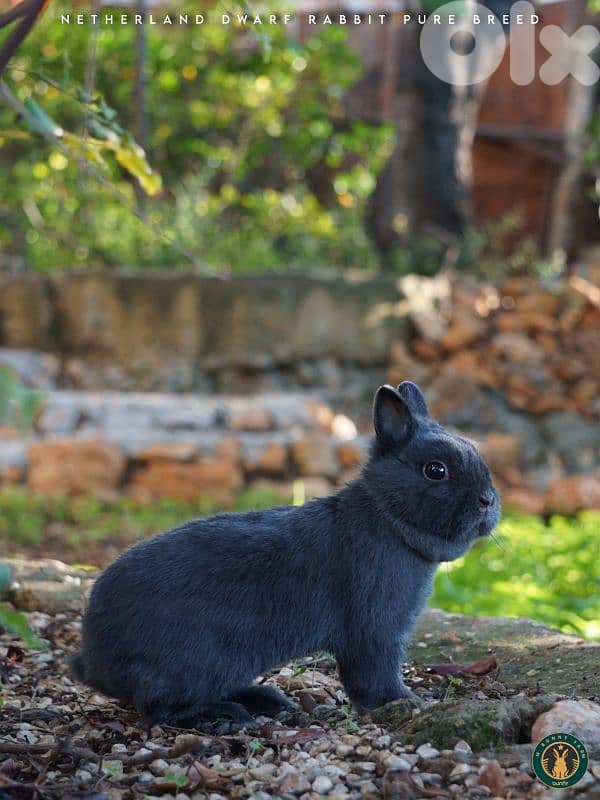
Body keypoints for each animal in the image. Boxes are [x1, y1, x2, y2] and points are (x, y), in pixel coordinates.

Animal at [71, 381, 500, 727]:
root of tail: (95, 660)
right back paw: (224, 716)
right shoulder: (375, 630)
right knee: (159, 709)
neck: (387, 517)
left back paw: (266, 700)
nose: (488, 501)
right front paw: (407, 701)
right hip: (195, 662)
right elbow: (374, 676)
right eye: (435, 470)